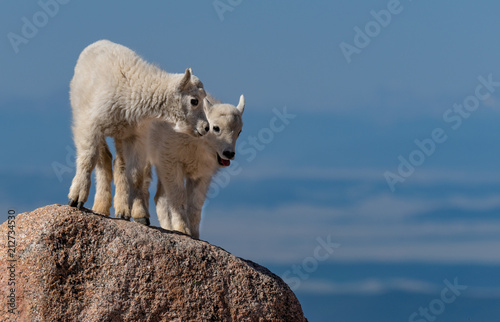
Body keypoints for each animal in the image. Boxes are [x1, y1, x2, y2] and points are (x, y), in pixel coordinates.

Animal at [66, 39, 207, 224]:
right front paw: (75, 199)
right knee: (104, 159)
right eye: (194, 100)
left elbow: (135, 174)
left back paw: (122, 211)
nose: (205, 127)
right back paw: (101, 207)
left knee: (119, 163)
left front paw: (140, 215)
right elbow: (88, 159)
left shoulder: (137, 136)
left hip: (122, 135)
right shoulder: (91, 125)